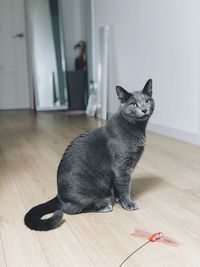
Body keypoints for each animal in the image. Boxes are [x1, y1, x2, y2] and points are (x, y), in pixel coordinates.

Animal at [23, 78, 155, 231]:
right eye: (133, 104)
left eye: (148, 101)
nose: (144, 109)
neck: (137, 129)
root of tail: (58, 196)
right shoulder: (122, 167)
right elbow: (124, 187)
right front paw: (128, 203)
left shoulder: (121, 170)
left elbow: (118, 187)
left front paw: (119, 199)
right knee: (71, 209)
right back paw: (104, 206)